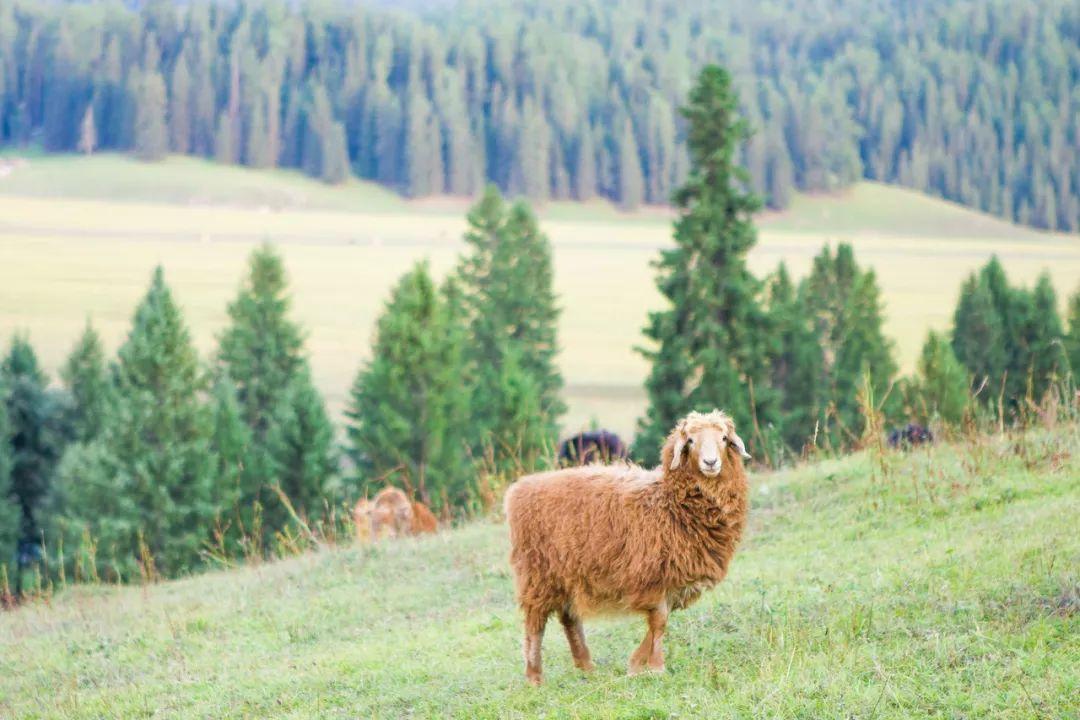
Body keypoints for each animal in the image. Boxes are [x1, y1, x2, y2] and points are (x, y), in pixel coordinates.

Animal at [505, 410, 751, 686]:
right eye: (690, 441)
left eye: (723, 438)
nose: (710, 462)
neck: (669, 502)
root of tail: (521, 488)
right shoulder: (653, 576)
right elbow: (659, 622)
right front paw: (656, 667)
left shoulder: (672, 580)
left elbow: (660, 621)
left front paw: (635, 665)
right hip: (538, 572)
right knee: (534, 625)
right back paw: (534, 677)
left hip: (568, 572)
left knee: (569, 618)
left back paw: (586, 667)